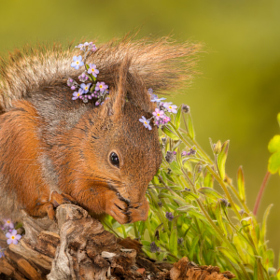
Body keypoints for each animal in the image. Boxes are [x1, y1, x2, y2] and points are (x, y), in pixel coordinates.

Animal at [0, 37, 199, 223]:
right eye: (114, 159)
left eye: (158, 162)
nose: (133, 198)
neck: (86, 139)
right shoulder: (72, 163)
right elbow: (82, 192)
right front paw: (110, 201)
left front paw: (141, 208)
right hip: (22, 162)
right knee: (30, 205)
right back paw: (50, 202)